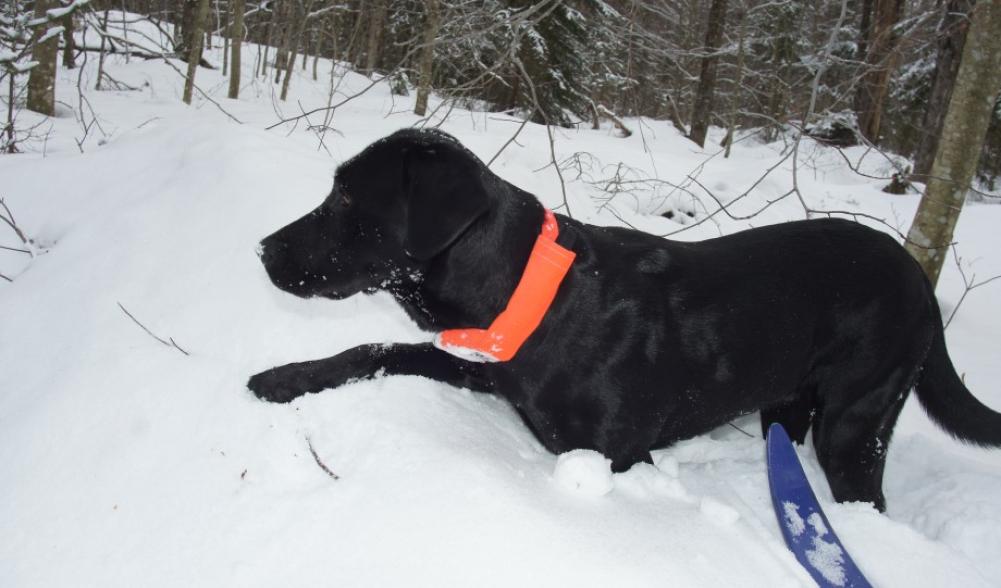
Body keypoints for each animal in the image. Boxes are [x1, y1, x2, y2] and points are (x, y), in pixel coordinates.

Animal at [250, 129, 1001, 510]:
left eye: (348, 198)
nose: (262, 248)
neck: (534, 291)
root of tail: (918, 279)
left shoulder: (620, 454)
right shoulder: (485, 366)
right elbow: (375, 349)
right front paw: (285, 378)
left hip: (856, 422)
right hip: (785, 400)